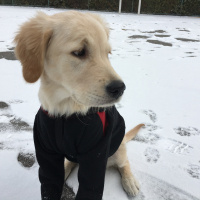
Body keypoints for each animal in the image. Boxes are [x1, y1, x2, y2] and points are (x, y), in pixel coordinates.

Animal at [14, 11, 144, 200]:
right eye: (79, 52)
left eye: (107, 53)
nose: (120, 88)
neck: (65, 112)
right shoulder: (46, 153)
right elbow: (49, 184)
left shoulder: (96, 155)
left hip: (118, 148)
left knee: (124, 162)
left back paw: (130, 182)